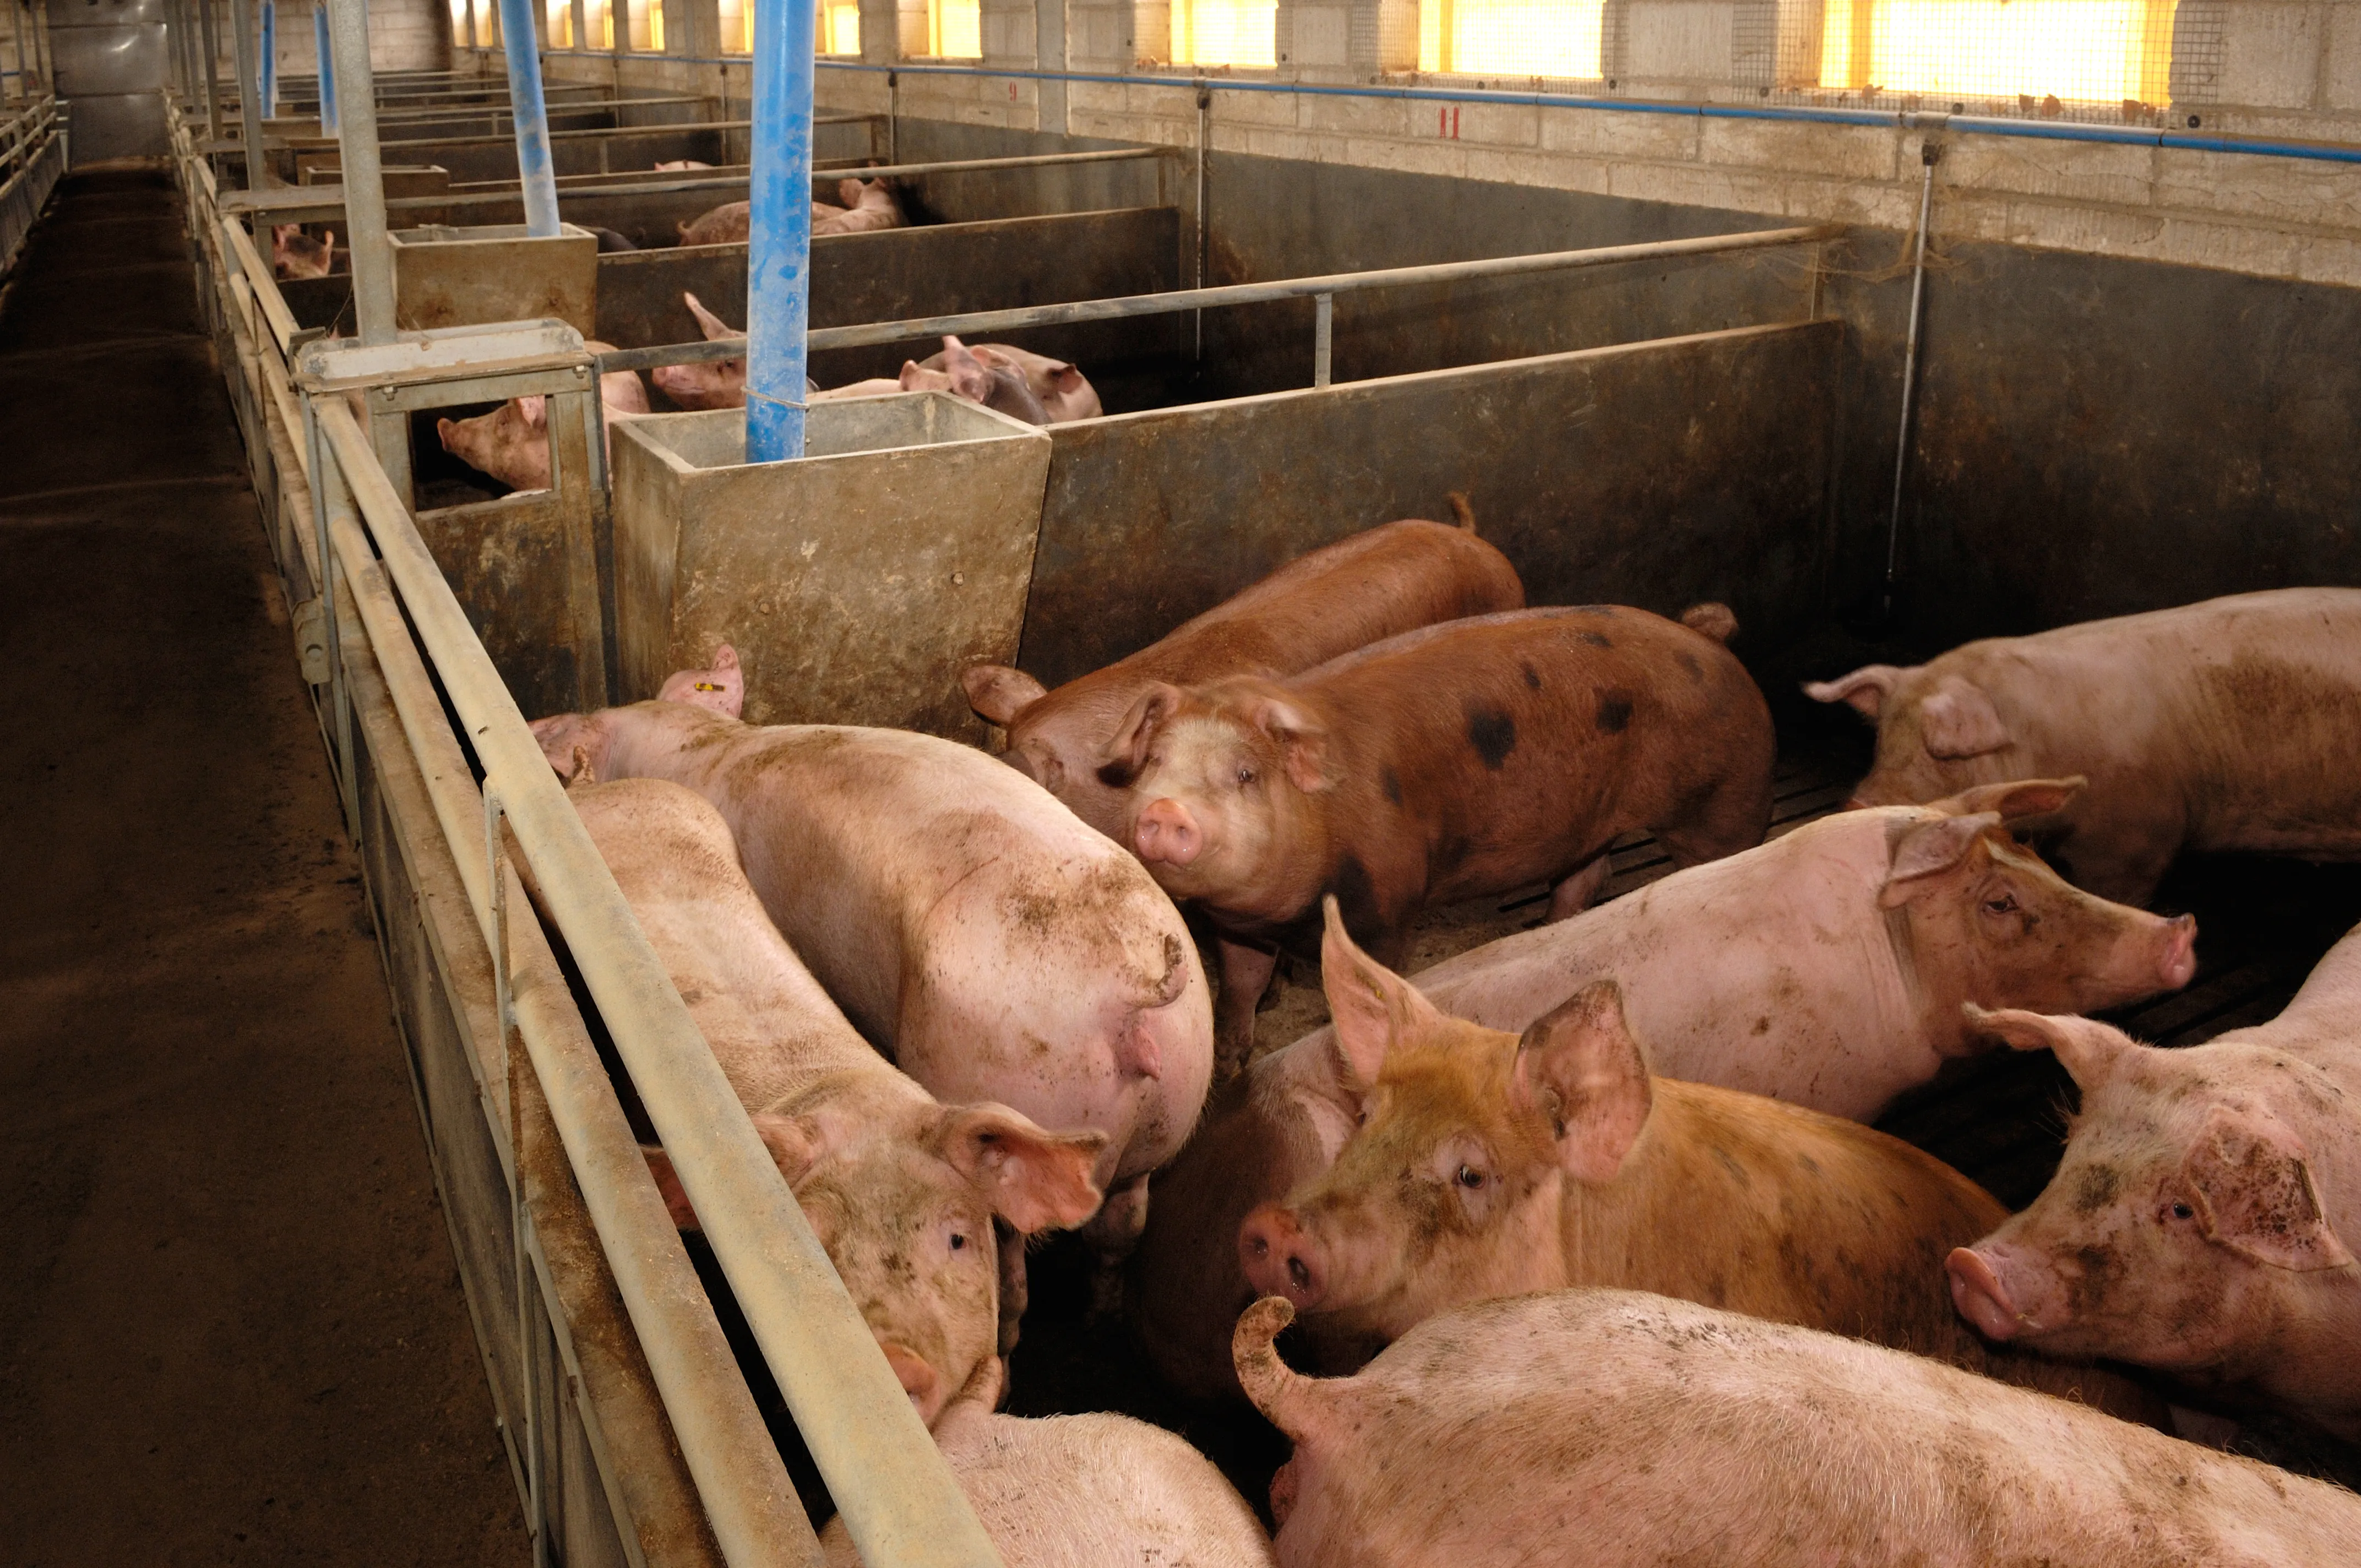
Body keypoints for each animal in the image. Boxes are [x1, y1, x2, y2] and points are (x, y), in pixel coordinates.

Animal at [1106, 604, 1775, 1061]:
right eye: (1155, 761)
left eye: (1245, 774)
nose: (1167, 810)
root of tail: (1708, 639)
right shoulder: (1238, 925)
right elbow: (1242, 985)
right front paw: (1232, 1060)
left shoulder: (1386, 901)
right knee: (1585, 874)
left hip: (1727, 800)